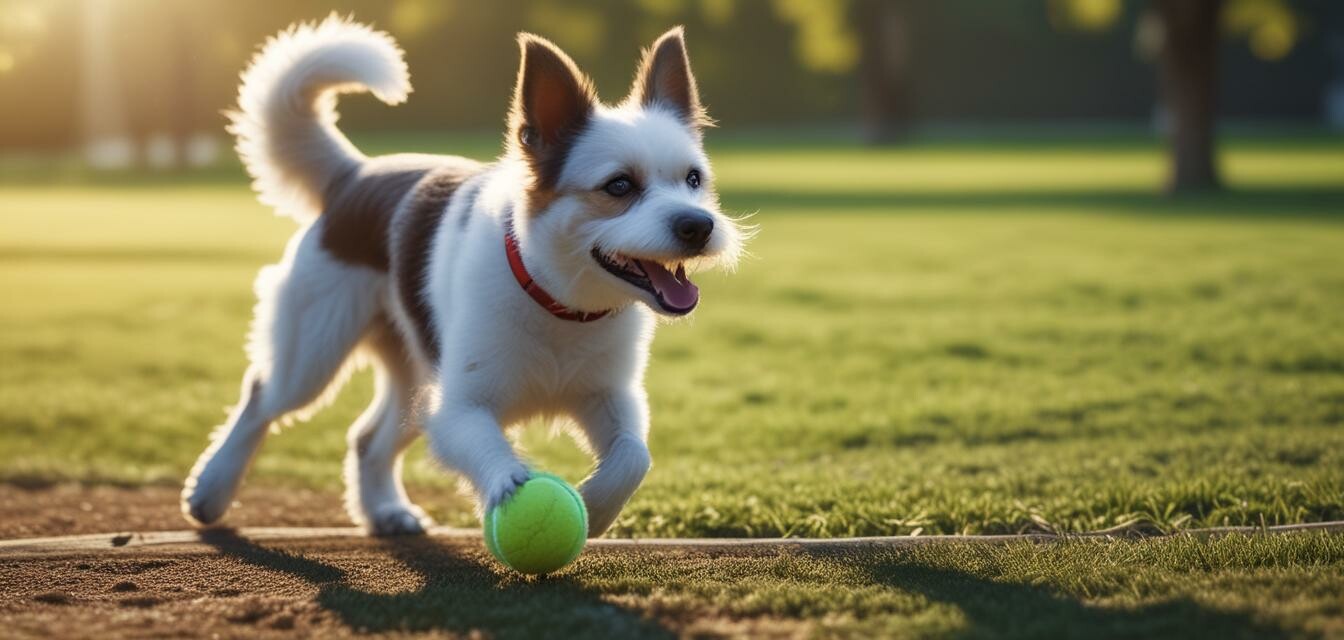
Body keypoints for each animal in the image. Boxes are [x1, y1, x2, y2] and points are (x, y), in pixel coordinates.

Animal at [181, 14, 747, 537]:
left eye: (694, 179)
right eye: (620, 185)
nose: (699, 225)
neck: (559, 302)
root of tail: (355, 173)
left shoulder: (611, 395)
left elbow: (634, 456)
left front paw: (597, 507)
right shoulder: (458, 409)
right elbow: (498, 458)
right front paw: (519, 495)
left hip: (414, 375)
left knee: (365, 437)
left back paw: (385, 510)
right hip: (315, 349)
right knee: (260, 398)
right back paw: (211, 488)